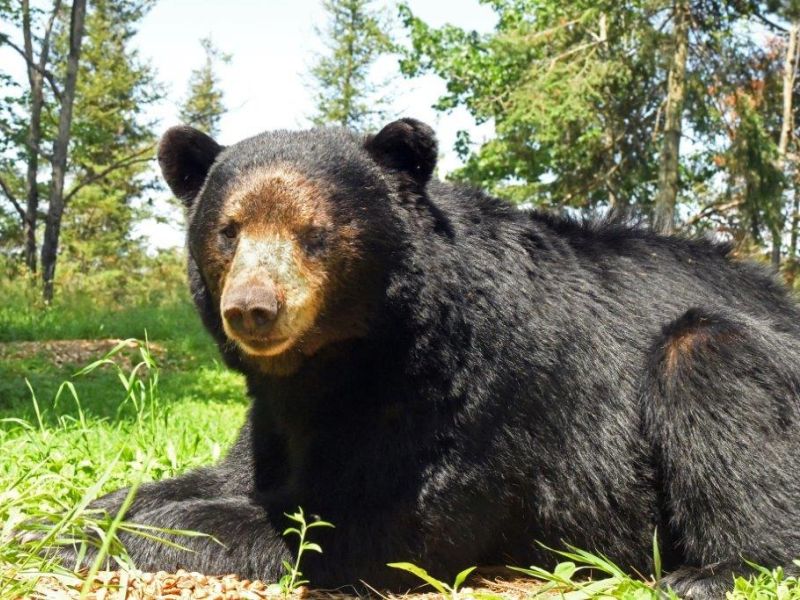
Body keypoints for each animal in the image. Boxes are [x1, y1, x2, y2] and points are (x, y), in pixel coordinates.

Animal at [69, 118, 800, 599]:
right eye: (229, 230)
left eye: (315, 233)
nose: (253, 307)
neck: (343, 362)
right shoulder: (277, 413)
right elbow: (229, 474)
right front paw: (85, 515)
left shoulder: (464, 394)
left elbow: (374, 524)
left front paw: (131, 535)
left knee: (711, 364)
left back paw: (716, 571)